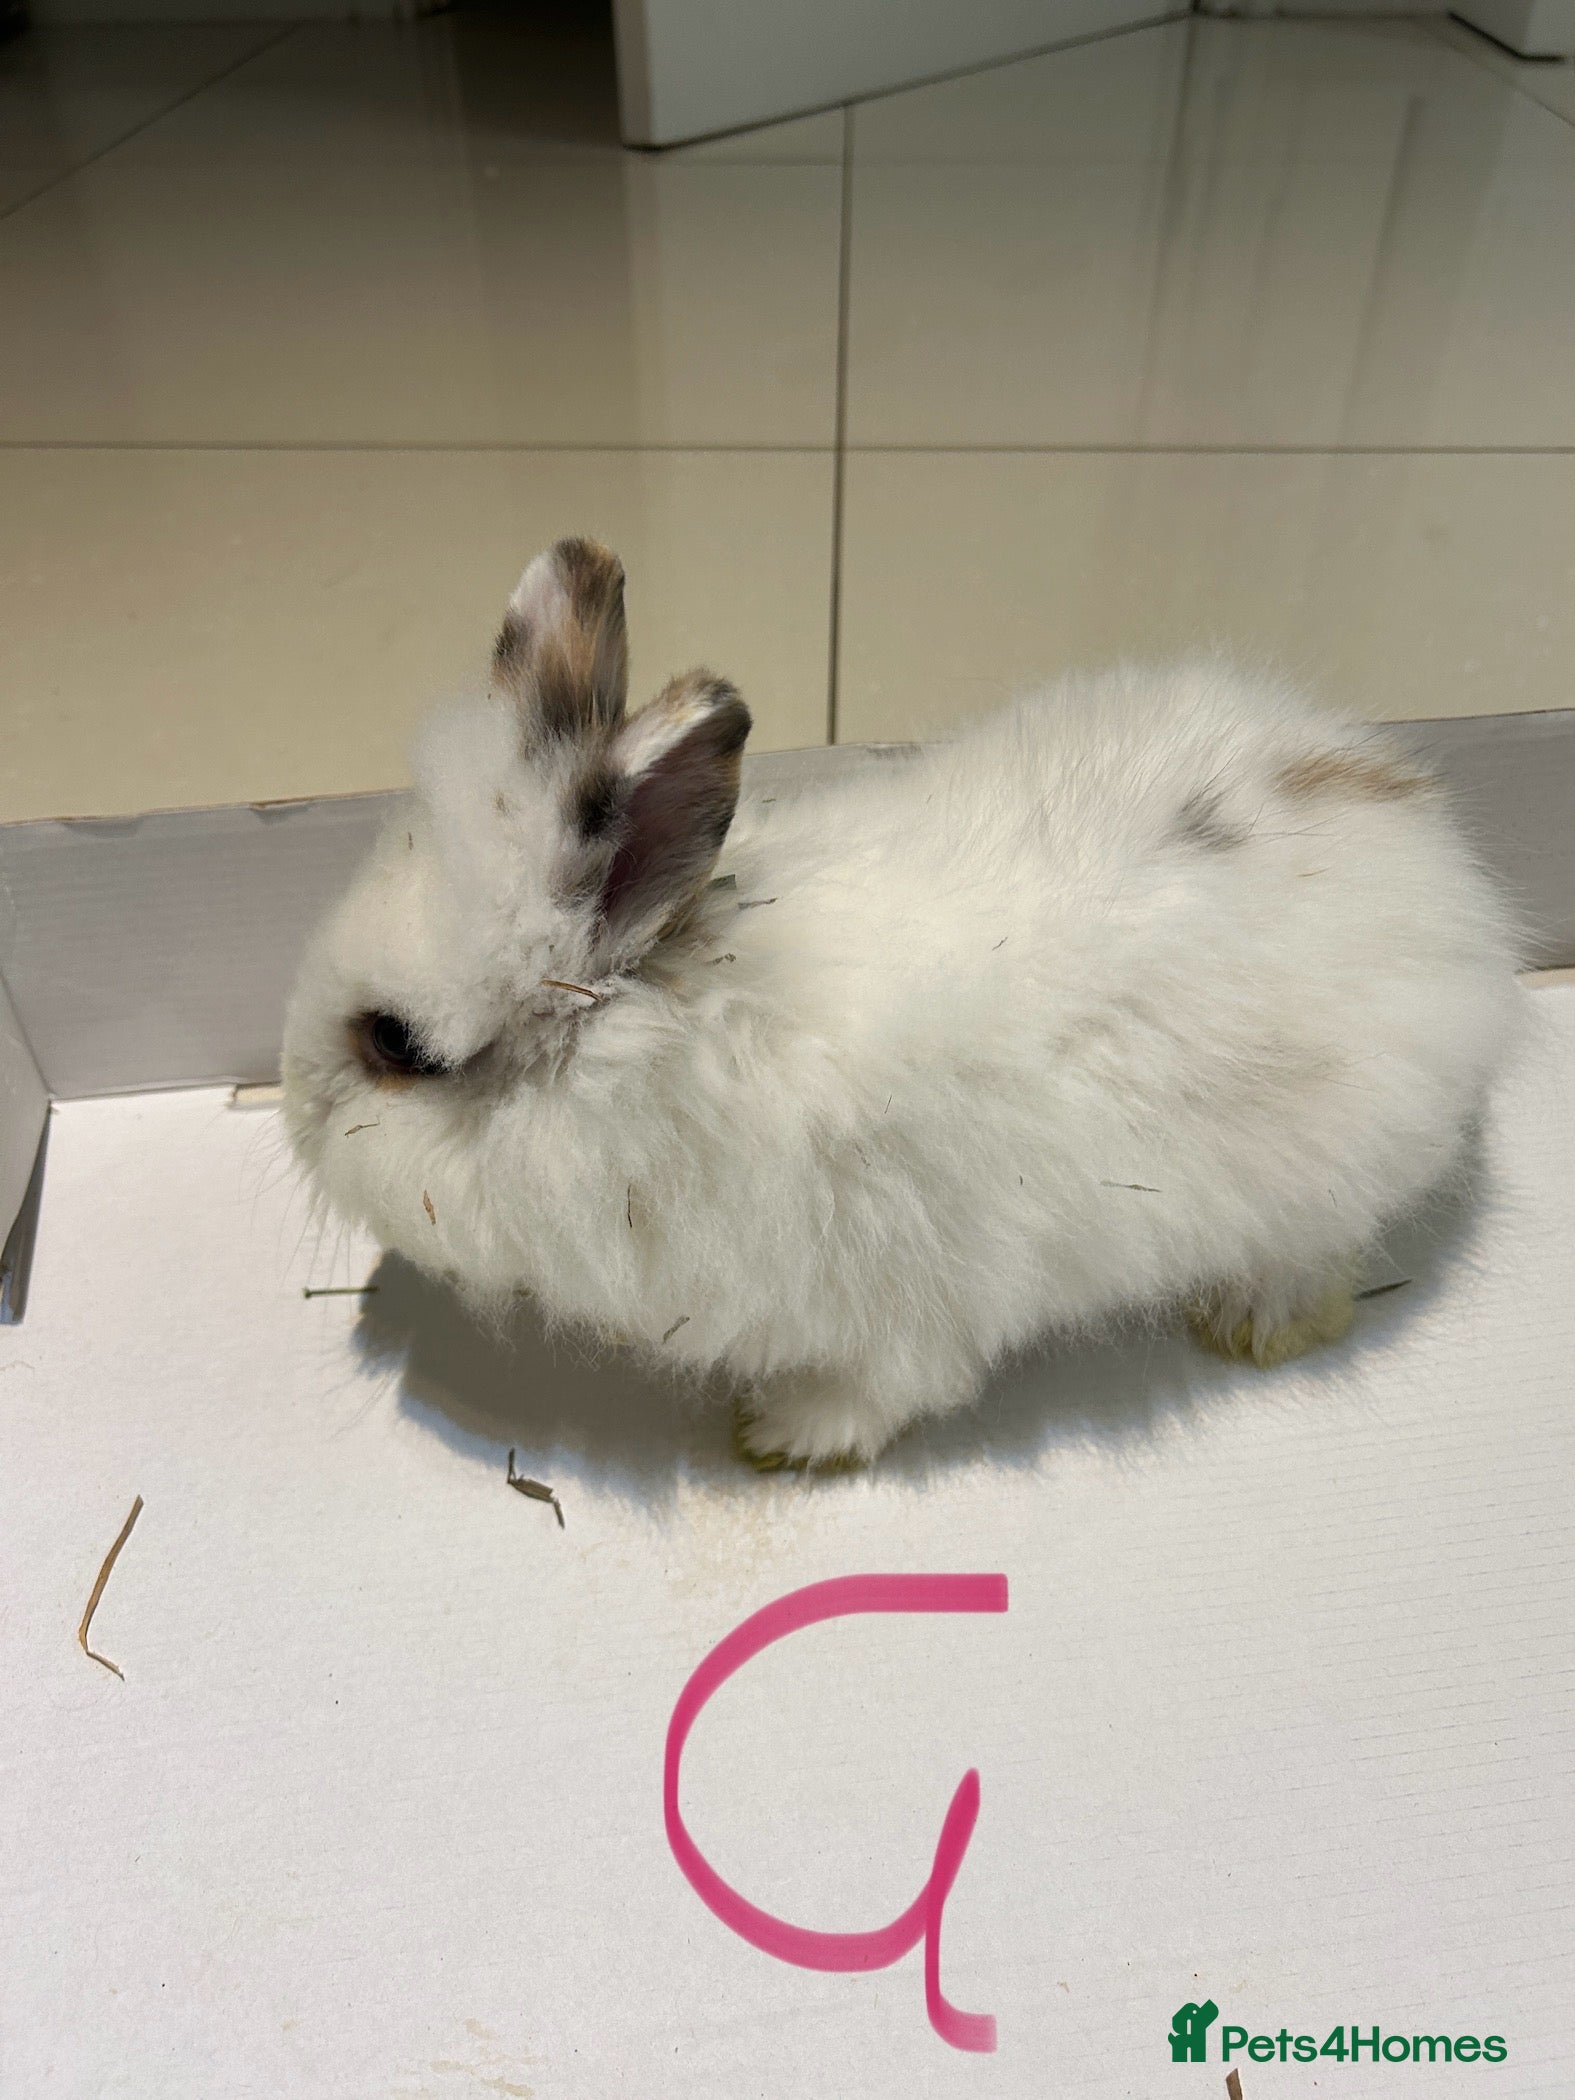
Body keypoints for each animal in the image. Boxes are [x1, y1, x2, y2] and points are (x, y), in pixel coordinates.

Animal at [281, 536, 1522, 1469]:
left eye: (398, 1047)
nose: (294, 1109)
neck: (671, 1041)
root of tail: (1426, 839)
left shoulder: (900, 1304)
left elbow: (886, 1389)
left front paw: (780, 1437)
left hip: (1328, 1186)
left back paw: (1250, 1329)